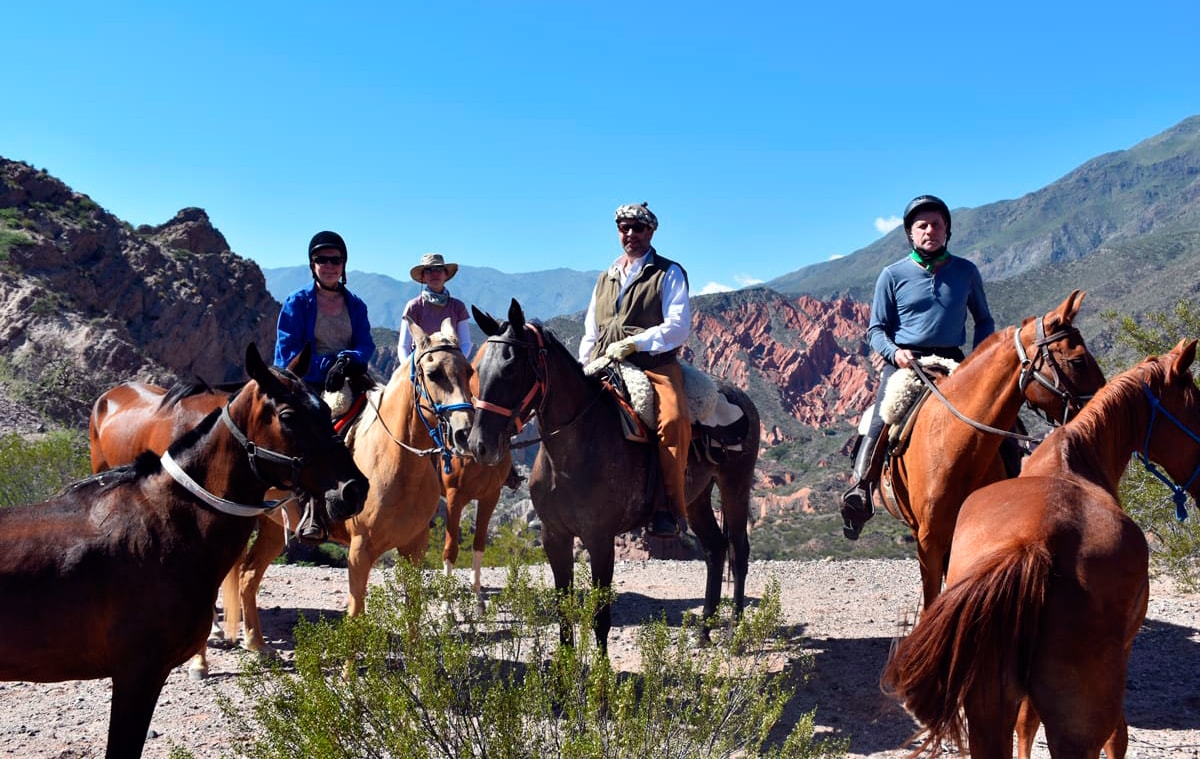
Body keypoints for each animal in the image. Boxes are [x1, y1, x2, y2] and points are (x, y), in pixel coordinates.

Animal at [468, 299, 758, 648]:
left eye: (510, 368)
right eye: (476, 370)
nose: (479, 445)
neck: (571, 455)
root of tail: (741, 397)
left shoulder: (600, 539)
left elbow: (600, 616)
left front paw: (601, 665)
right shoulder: (555, 536)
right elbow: (563, 610)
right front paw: (566, 662)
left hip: (735, 484)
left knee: (738, 550)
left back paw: (736, 633)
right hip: (695, 498)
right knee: (715, 548)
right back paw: (703, 633)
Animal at [883, 338, 1200, 758]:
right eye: (1197, 406)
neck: (1076, 454)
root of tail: (1032, 546)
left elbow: (1026, 724)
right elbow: (1118, 735)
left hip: (987, 712)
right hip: (1080, 720)